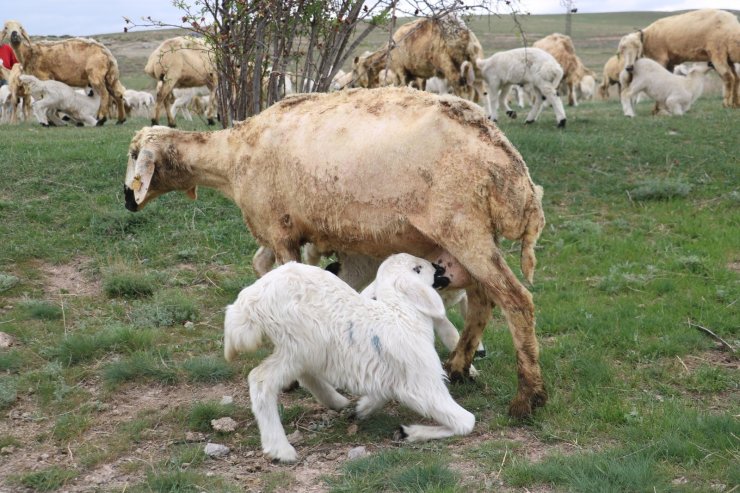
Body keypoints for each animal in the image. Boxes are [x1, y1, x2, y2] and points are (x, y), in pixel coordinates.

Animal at [123, 87, 548, 416]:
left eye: (132, 154)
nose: (127, 199)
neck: (232, 158)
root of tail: (512, 165)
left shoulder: (280, 232)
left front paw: (294, 380)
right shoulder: (291, 236)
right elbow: (266, 267)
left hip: (462, 225)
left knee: (516, 301)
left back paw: (528, 397)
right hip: (471, 234)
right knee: (482, 301)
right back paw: (459, 367)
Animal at [225, 252, 476, 464]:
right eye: (417, 269)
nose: (439, 267)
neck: (402, 314)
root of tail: (248, 302)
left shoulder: (393, 375)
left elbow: (382, 392)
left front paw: (364, 408)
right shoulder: (423, 384)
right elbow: (466, 421)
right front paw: (410, 432)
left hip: (304, 348)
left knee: (303, 374)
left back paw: (337, 401)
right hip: (298, 342)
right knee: (261, 379)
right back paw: (280, 448)